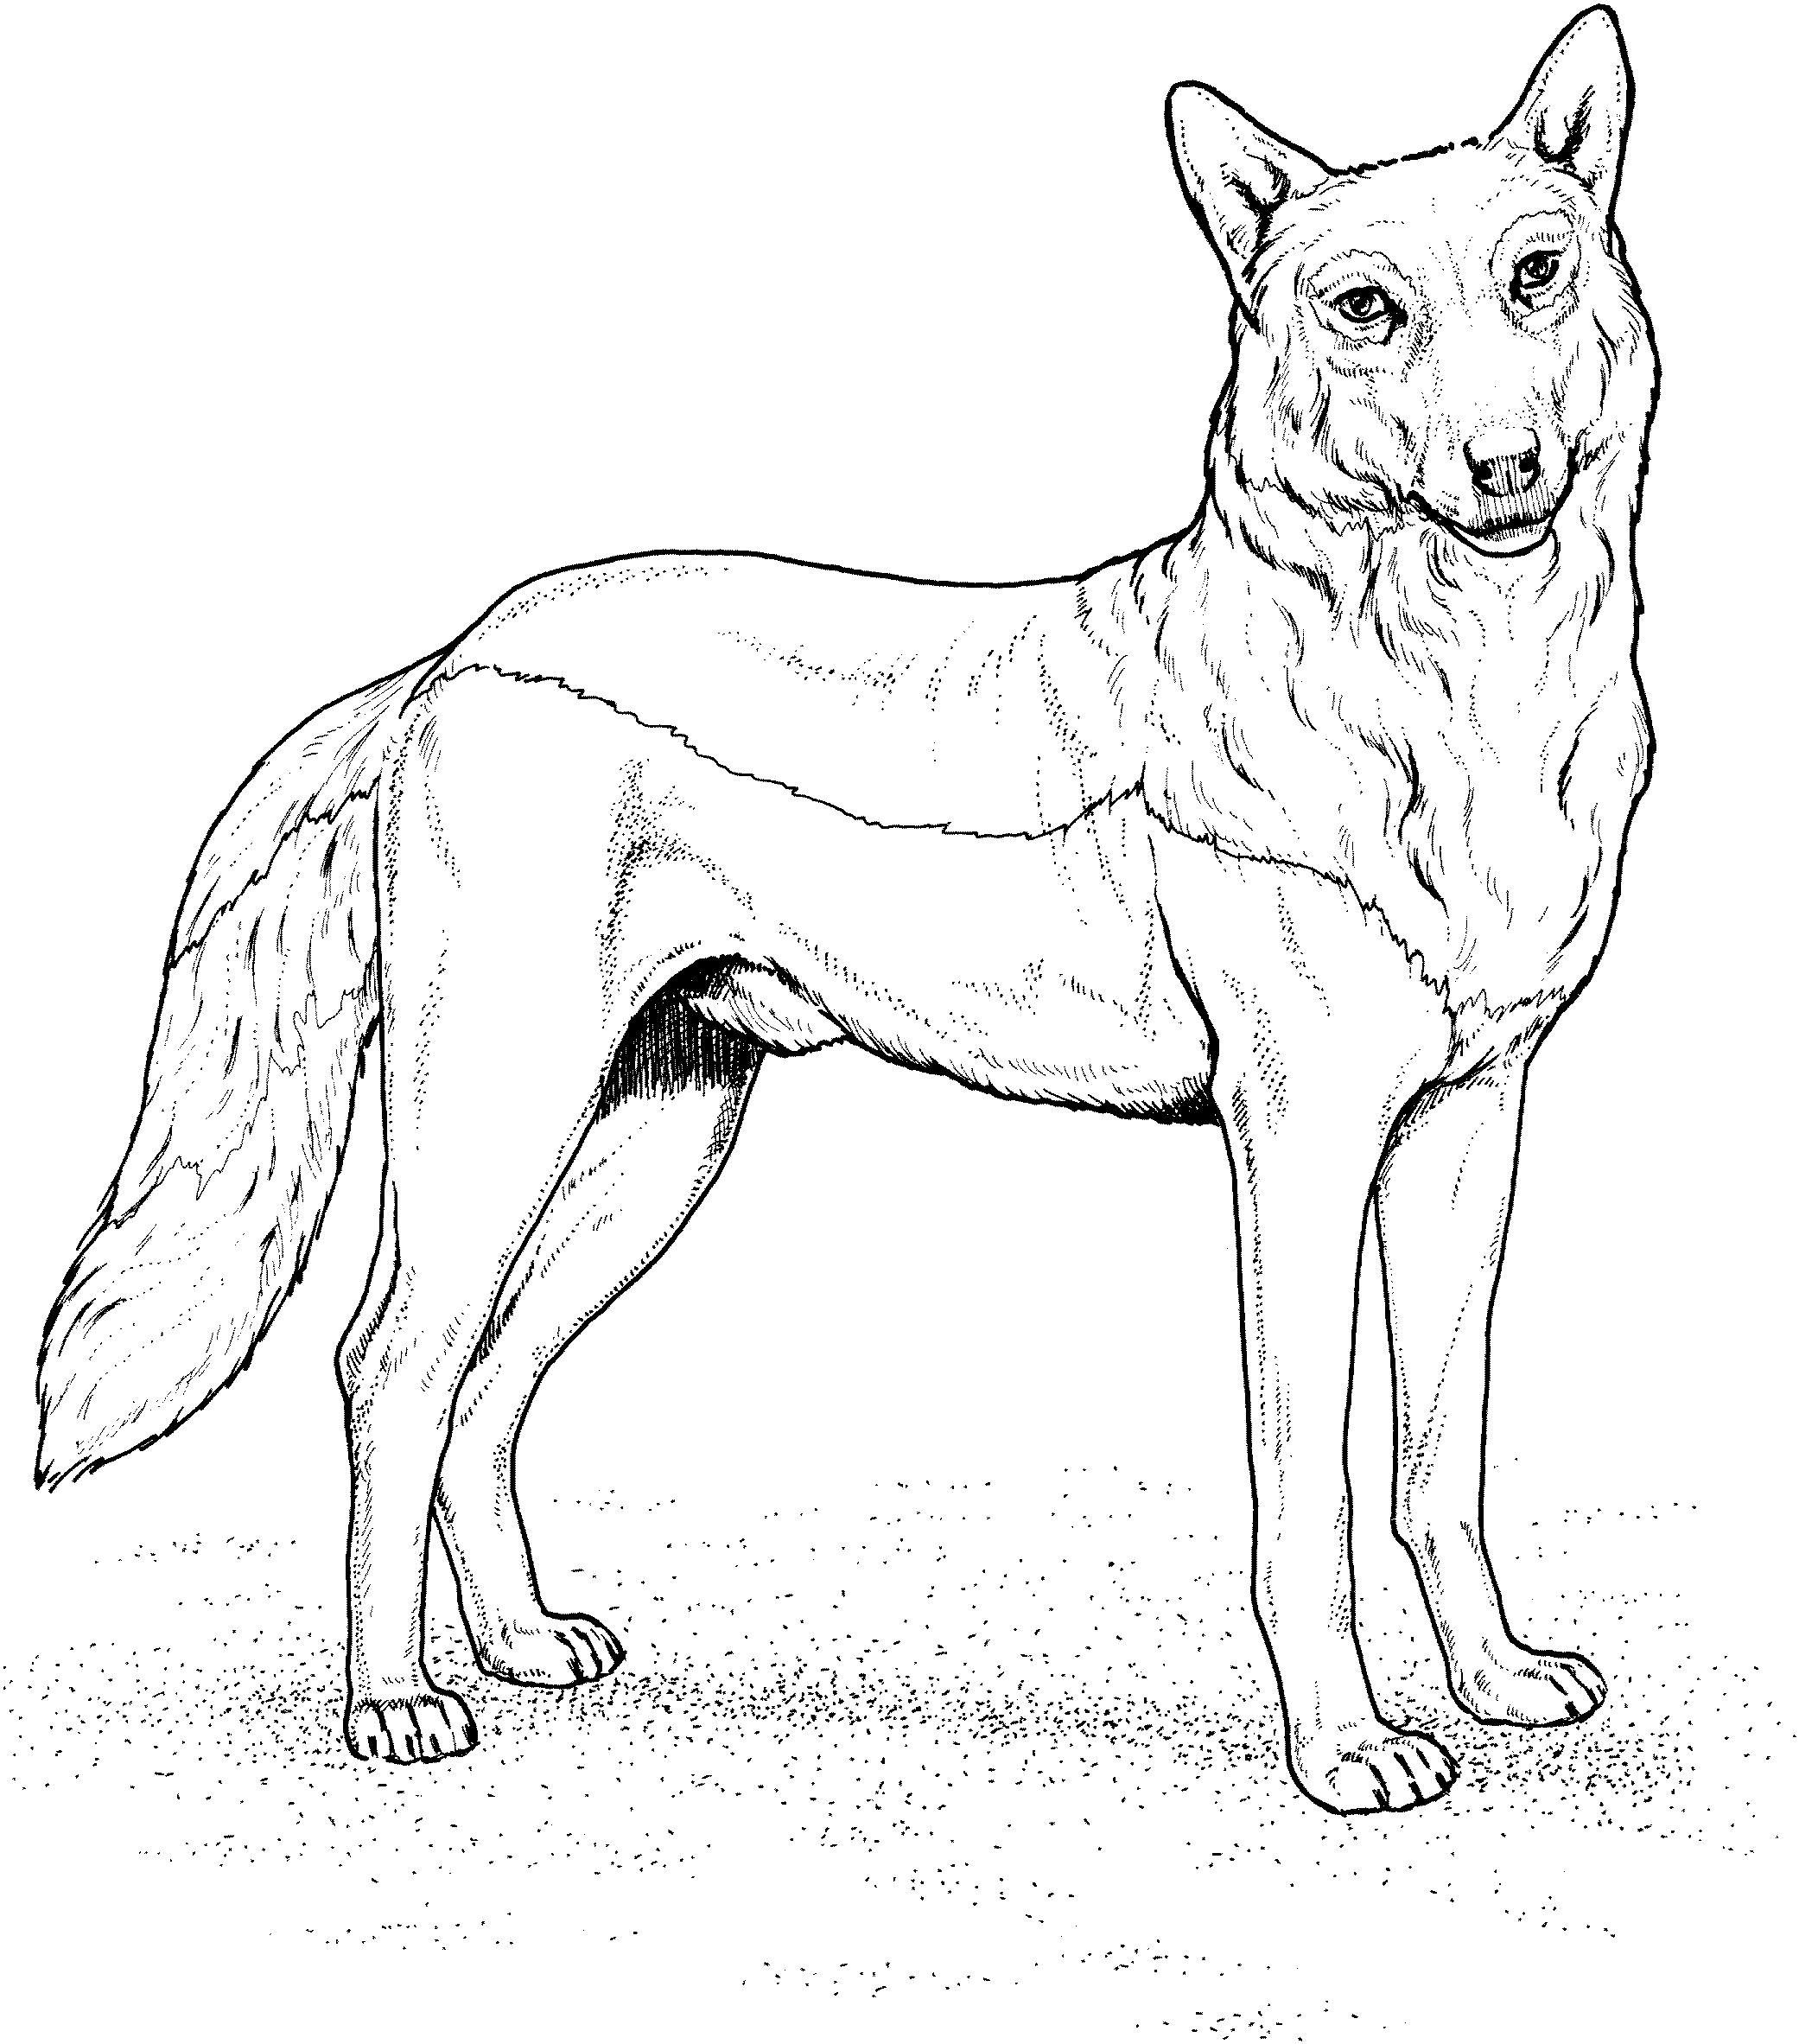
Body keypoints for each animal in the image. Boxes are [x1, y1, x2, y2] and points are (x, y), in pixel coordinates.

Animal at [37, 10, 1653, 1814]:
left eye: (1534, 273)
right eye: (1364, 307)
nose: (1506, 468)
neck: (1447, 689)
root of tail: (453, 656)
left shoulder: (1465, 1127)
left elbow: (1440, 1456)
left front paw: (1495, 1681)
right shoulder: (1300, 1150)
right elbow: (1309, 1497)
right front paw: (1347, 1745)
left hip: (650, 1143)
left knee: (487, 1382)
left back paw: (520, 1644)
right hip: (496, 1116)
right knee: (390, 1368)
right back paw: (393, 1701)